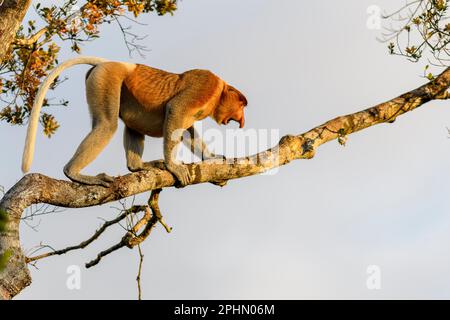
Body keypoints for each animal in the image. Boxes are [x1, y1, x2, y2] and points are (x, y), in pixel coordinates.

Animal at [21, 56, 248, 186]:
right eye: (242, 104)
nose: (242, 120)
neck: (219, 92)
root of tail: (108, 63)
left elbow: (187, 130)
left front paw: (211, 157)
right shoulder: (205, 86)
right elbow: (175, 110)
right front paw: (173, 166)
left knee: (132, 125)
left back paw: (138, 166)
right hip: (107, 79)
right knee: (107, 124)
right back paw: (74, 173)